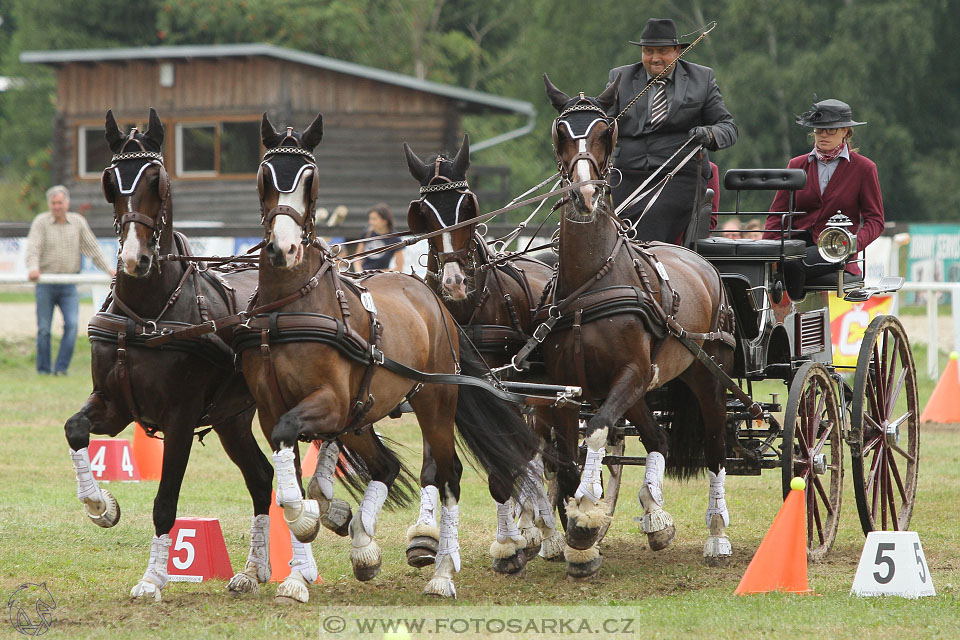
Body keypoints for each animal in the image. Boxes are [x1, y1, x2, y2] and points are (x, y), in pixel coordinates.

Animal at [62, 107, 282, 604]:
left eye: (158, 181)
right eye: (110, 180)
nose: (134, 259)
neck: (149, 313)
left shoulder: (180, 418)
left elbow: (165, 502)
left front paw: (152, 579)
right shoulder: (114, 404)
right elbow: (75, 428)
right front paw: (101, 506)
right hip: (232, 418)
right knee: (261, 477)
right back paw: (253, 570)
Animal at [237, 115, 540, 600]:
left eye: (310, 179)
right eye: (265, 176)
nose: (284, 249)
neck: (289, 306)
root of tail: (433, 299)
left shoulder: (329, 402)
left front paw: (313, 524)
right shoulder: (271, 411)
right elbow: (288, 485)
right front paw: (302, 567)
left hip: (434, 402)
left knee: (449, 472)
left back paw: (443, 572)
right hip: (363, 414)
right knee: (390, 465)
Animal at [402, 134, 568, 568]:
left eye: (468, 207)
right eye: (423, 215)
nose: (455, 282)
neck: (464, 309)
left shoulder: (499, 384)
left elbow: (502, 466)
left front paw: (509, 544)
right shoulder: (438, 383)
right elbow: (435, 463)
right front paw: (423, 536)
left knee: (543, 451)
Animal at [536, 77, 740, 576]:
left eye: (606, 132)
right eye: (559, 132)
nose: (585, 195)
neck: (593, 281)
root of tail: (699, 259)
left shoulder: (628, 373)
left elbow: (596, 430)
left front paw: (585, 516)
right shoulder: (568, 386)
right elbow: (565, 456)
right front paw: (582, 534)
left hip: (707, 375)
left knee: (715, 445)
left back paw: (717, 535)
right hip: (647, 386)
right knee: (658, 437)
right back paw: (655, 518)